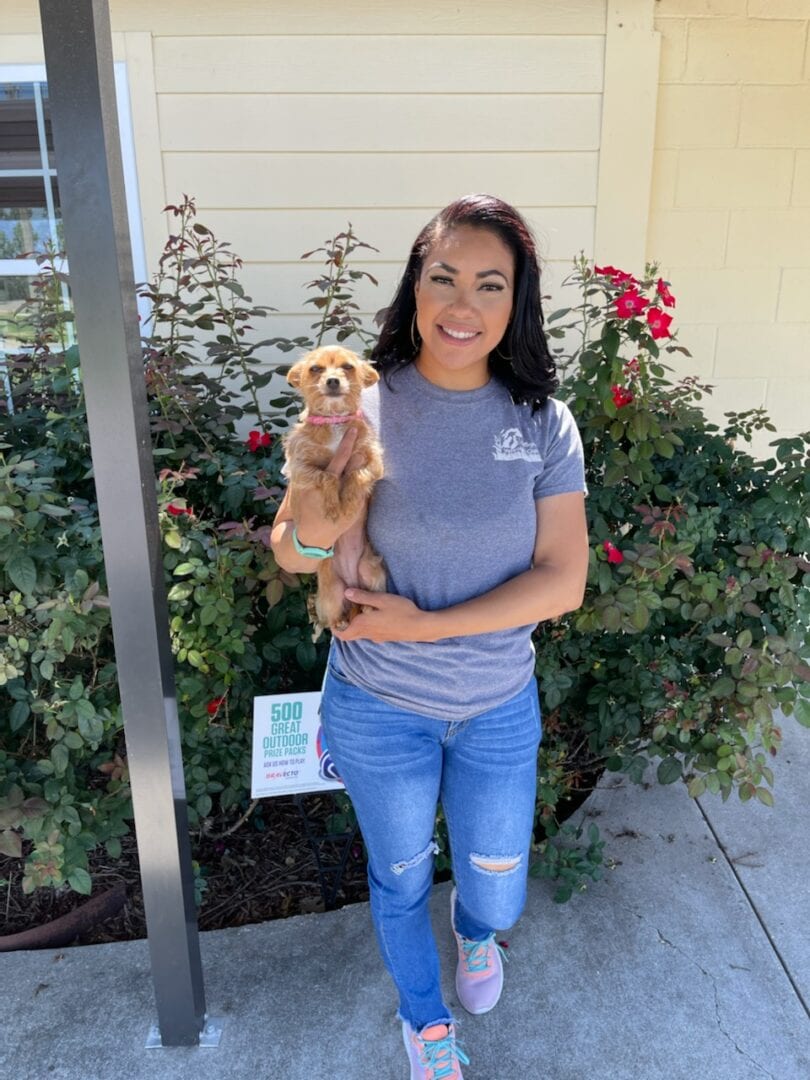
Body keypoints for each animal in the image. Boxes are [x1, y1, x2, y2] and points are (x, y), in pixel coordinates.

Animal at [282, 343, 388, 639]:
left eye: (347, 367)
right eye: (315, 369)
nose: (332, 380)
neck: (335, 422)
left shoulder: (373, 461)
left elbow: (355, 475)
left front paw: (348, 503)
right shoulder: (299, 468)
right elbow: (329, 476)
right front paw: (333, 507)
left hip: (371, 572)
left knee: (365, 601)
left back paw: (368, 608)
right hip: (330, 595)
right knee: (332, 618)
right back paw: (340, 621)